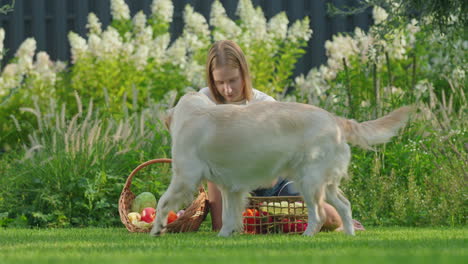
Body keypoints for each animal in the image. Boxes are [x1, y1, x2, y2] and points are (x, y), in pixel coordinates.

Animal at [151, 92, 414, 236]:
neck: (193, 113)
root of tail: (336, 120)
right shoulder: (231, 187)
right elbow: (229, 215)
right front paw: (225, 235)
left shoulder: (184, 177)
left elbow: (163, 201)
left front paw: (157, 228)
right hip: (325, 183)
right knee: (345, 205)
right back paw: (349, 235)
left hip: (308, 182)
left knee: (318, 214)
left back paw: (307, 235)